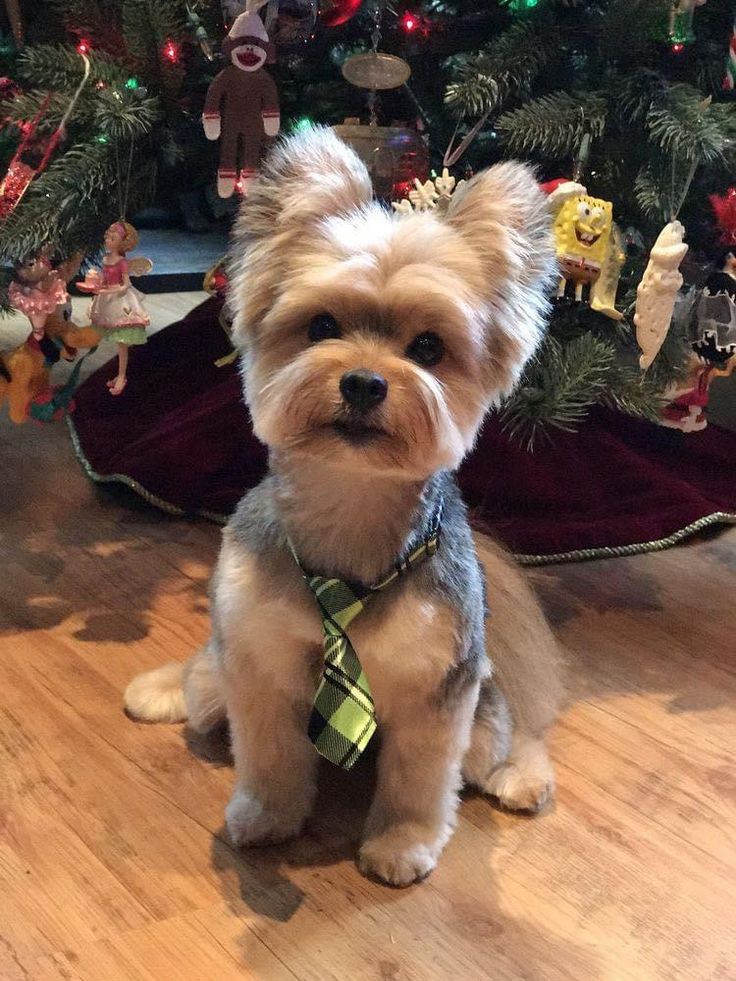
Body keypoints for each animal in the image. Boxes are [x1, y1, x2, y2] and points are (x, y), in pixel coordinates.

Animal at [126, 126, 564, 884]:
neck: (349, 515)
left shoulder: (435, 687)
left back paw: (523, 776)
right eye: (322, 325)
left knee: (507, 732)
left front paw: (401, 842)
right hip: (218, 684)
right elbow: (269, 754)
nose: (363, 382)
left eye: (428, 346)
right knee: (203, 686)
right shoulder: (259, 659)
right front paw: (266, 814)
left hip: (482, 703)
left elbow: (420, 778)